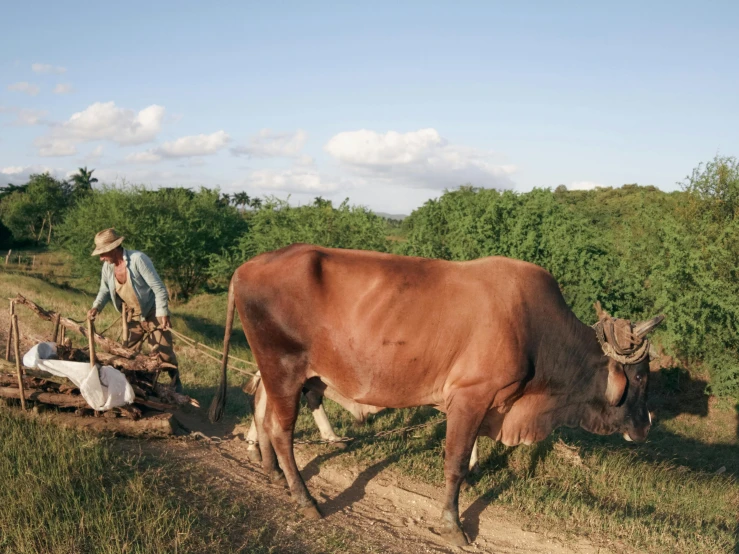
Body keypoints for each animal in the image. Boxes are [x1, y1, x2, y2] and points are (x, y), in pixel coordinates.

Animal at [210, 243, 664, 544]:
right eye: (642, 376)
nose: (645, 427)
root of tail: (247, 267)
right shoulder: (470, 396)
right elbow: (456, 464)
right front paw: (453, 526)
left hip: (281, 372)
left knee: (263, 412)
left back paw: (272, 473)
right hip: (284, 367)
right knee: (281, 430)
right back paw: (304, 498)